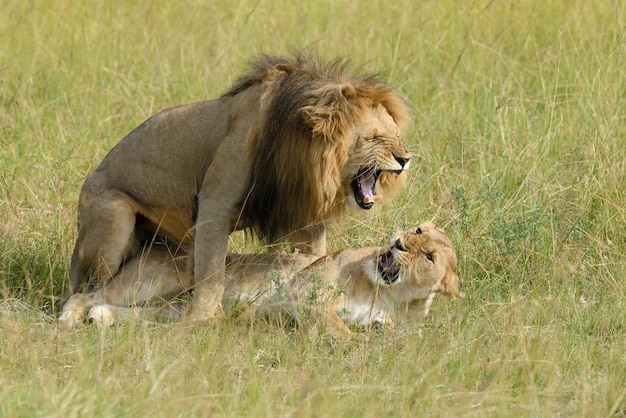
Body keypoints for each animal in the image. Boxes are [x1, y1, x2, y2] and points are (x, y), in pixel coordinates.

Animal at [61, 222, 460, 336]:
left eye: (429, 256)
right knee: (83, 295)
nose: (398, 243)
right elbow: (338, 328)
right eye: (417, 229)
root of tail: (152, 242)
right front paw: (356, 347)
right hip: (161, 279)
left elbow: (386, 330)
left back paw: (102, 318)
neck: (388, 294)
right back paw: (68, 319)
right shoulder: (307, 292)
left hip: (171, 307)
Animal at [67, 52, 410, 320]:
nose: (405, 159)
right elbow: (211, 273)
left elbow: (316, 256)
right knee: (91, 287)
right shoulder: (213, 205)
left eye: (396, 136)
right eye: (373, 138)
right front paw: (203, 318)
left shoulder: (306, 216)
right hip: (115, 220)